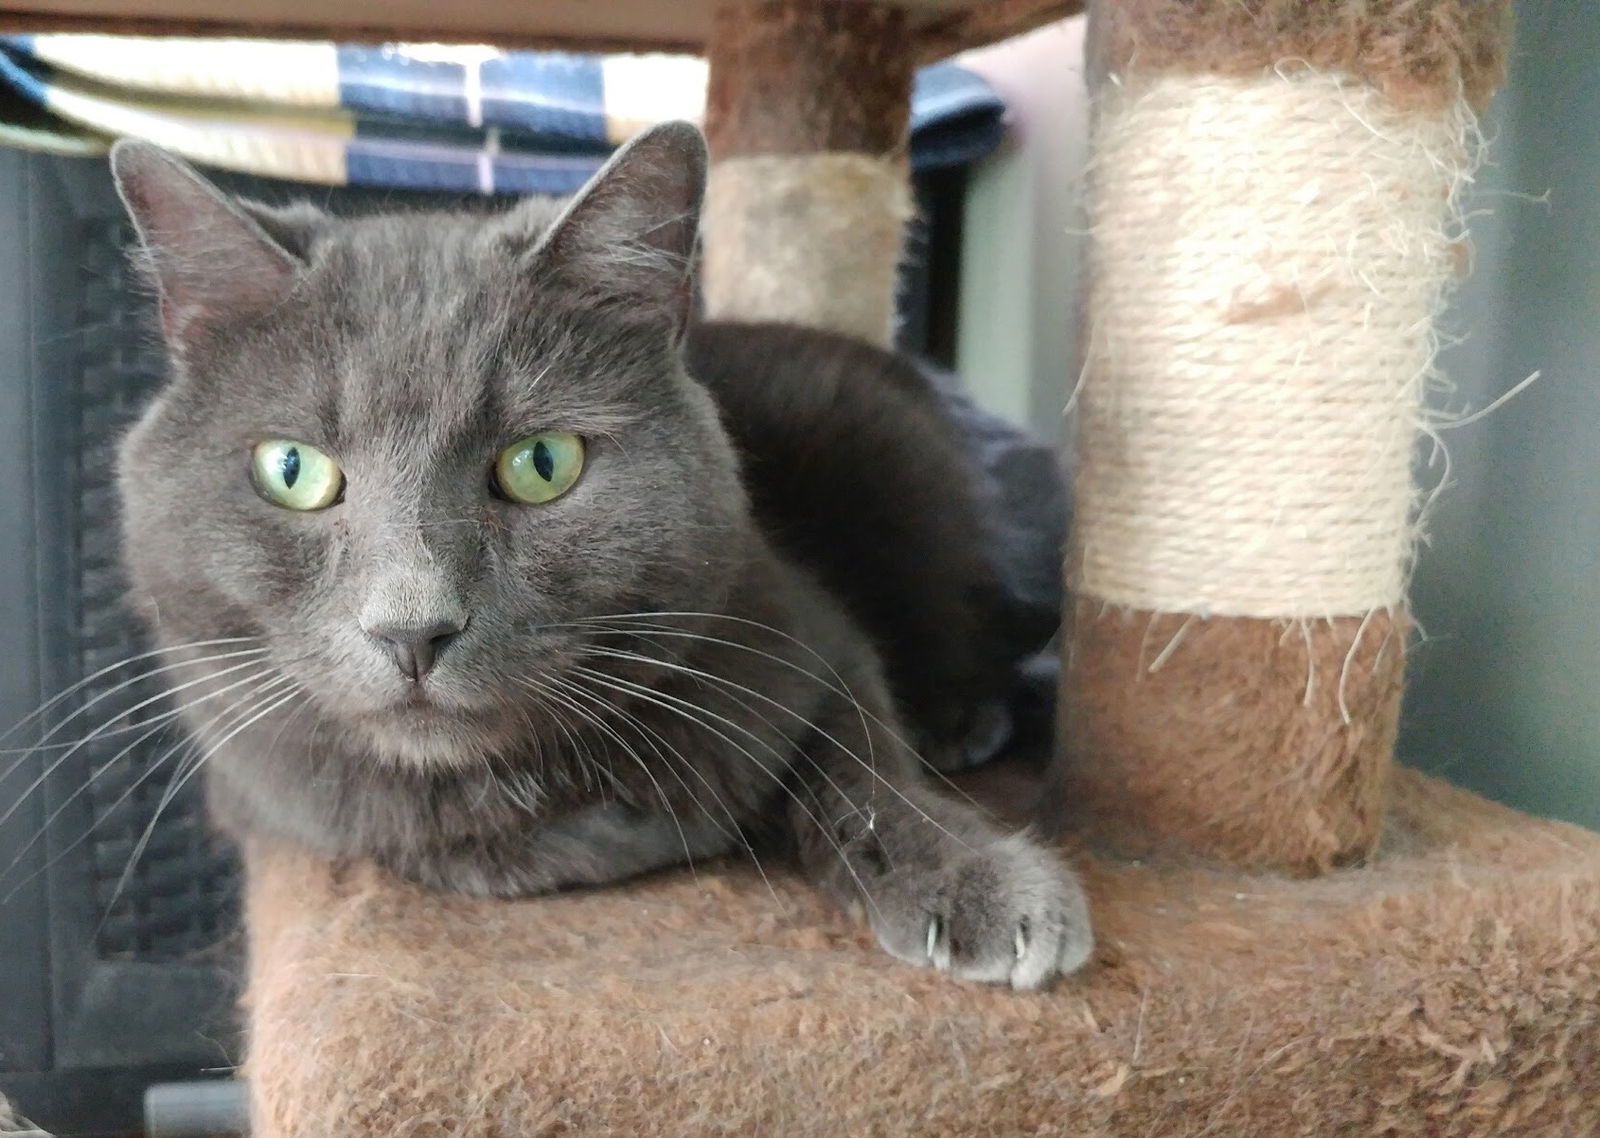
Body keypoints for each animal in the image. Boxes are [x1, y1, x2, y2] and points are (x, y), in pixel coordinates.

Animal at [109, 117, 1088, 985]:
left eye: (543, 464)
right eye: (292, 470)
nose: (412, 629)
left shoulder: (809, 630)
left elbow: (867, 764)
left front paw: (975, 879)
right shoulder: (267, 785)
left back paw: (962, 722)